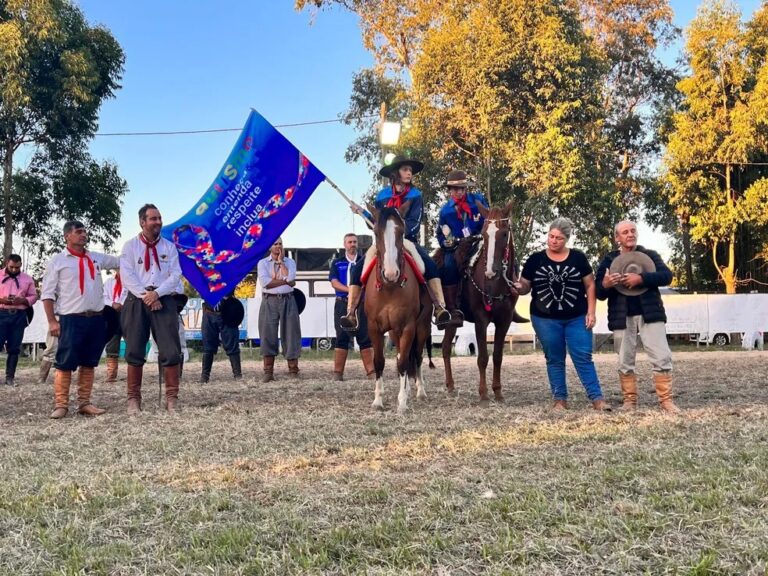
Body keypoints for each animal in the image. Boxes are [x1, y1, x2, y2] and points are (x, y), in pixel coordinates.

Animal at [362, 202, 428, 414]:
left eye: (401, 232)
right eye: (375, 232)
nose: (391, 273)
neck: (390, 287)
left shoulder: (408, 327)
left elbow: (404, 362)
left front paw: (402, 402)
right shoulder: (374, 328)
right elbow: (379, 361)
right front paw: (378, 400)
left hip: (421, 328)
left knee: (415, 357)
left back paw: (419, 391)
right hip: (393, 332)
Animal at [438, 202, 528, 404]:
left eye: (504, 233)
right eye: (484, 234)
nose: (491, 271)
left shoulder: (504, 320)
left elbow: (497, 356)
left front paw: (498, 392)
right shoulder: (481, 320)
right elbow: (483, 357)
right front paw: (484, 393)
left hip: (451, 323)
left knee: (446, 348)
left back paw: (450, 385)